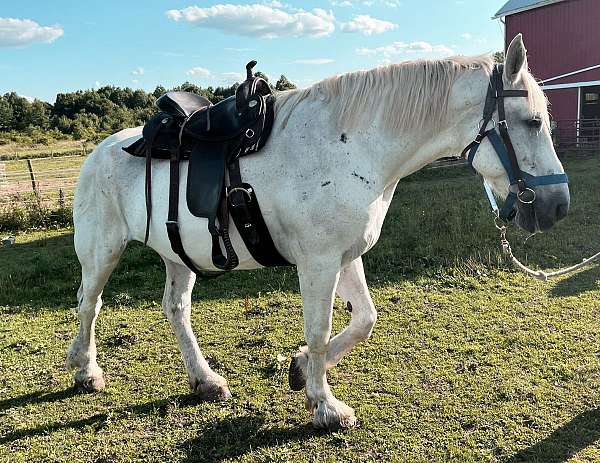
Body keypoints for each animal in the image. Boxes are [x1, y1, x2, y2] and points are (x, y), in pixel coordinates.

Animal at [68, 36, 568, 432]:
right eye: (532, 122)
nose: (557, 206)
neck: (349, 146)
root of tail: (101, 150)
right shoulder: (319, 262)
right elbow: (320, 328)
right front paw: (326, 406)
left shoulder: (347, 256)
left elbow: (364, 320)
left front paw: (302, 368)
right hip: (101, 251)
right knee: (89, 303)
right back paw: (85, 370)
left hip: (178, 255)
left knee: (176, 309)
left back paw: (205, 380)